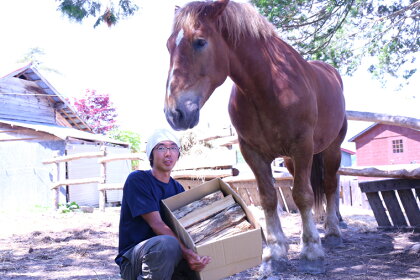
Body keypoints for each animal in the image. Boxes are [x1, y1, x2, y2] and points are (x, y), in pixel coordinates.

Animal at [164, 0, 348, 276]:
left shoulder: (302, 147)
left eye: (200, 41)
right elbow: (269, 198)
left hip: (330, 150)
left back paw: (333, 230)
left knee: (329, 185)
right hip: (292, 161)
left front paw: (311, 252)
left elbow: (302, 195)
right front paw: (275, 252)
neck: (269, 88)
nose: (174, 113)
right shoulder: (253, 152)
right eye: (168, 46)